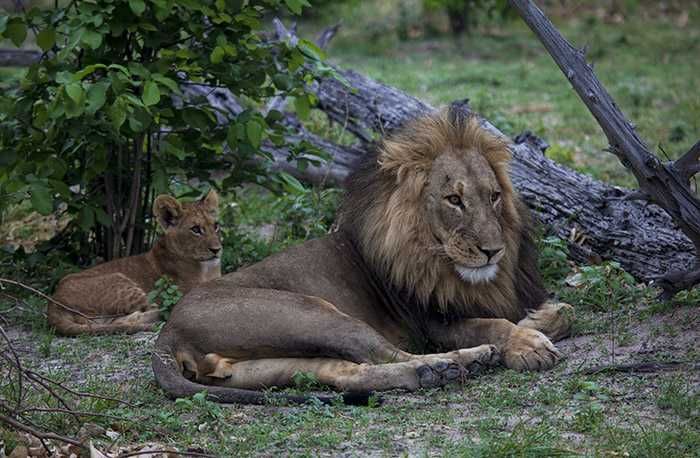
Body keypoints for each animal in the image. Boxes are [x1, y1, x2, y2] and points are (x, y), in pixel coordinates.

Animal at [49, 190, 222, 336]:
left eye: (216, 226)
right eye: (195, 229)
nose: (217, 249)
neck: (206, 268)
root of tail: (54, 303)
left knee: (116, 321)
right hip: (122, 283)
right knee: (162, 309)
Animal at [152, 108, 574, 405]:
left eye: (494, 196)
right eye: (454, 199)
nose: (492, 250)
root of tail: (167, 333)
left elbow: (564, 313)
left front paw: (541, 318)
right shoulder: (430, 323)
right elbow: (492, 325)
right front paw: (528, 344)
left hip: (260, 365)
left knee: (346, 371)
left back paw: (433, 374)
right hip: (314, 312)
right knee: (383, 353)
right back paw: (454, 363)